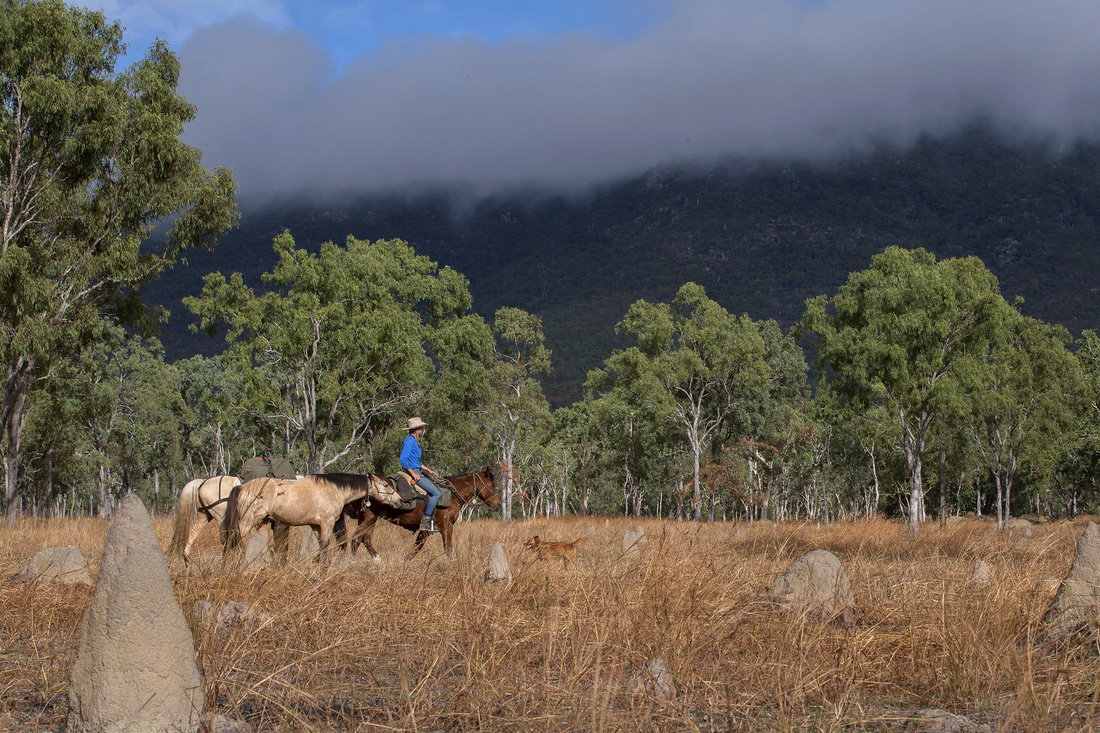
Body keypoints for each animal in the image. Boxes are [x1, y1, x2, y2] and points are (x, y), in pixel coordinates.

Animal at [226, 471, 382, 556]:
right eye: (385, 485)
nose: (396, 501)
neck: (334, 489)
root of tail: (241, 487)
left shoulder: (316, 525)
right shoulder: (327, 523)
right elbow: (325, 546)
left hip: (261, 523)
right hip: (246, 523)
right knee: (239, 542)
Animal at [343, 464, 503, 561]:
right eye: (492, 484)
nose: (497, 505)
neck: (452, 495)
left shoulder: (425, 530)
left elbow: (416, 548)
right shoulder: (446, 526)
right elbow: (448, 549)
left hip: (371, 519)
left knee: (365, 540)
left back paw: (378, 560)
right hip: (368, 518)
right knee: (356, 540)